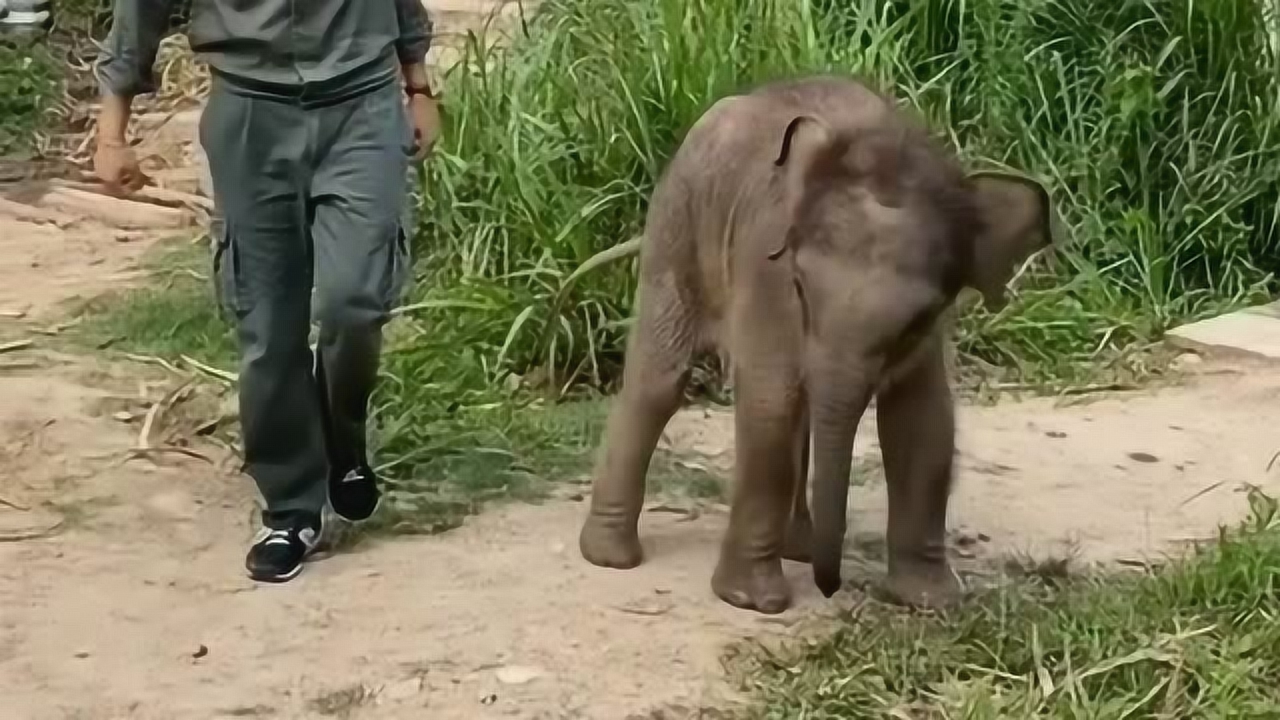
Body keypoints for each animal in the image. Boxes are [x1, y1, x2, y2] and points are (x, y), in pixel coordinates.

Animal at [581, 74, 1059, 609]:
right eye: (799, 287)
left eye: (919, 318)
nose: (829, 588)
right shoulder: (763, 272)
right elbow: (770, 403)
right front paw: (753, 601)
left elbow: (924, 419)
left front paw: (930, 599)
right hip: (675, 228)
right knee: (659, 381)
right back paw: (610, 558)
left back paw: (800, 549)